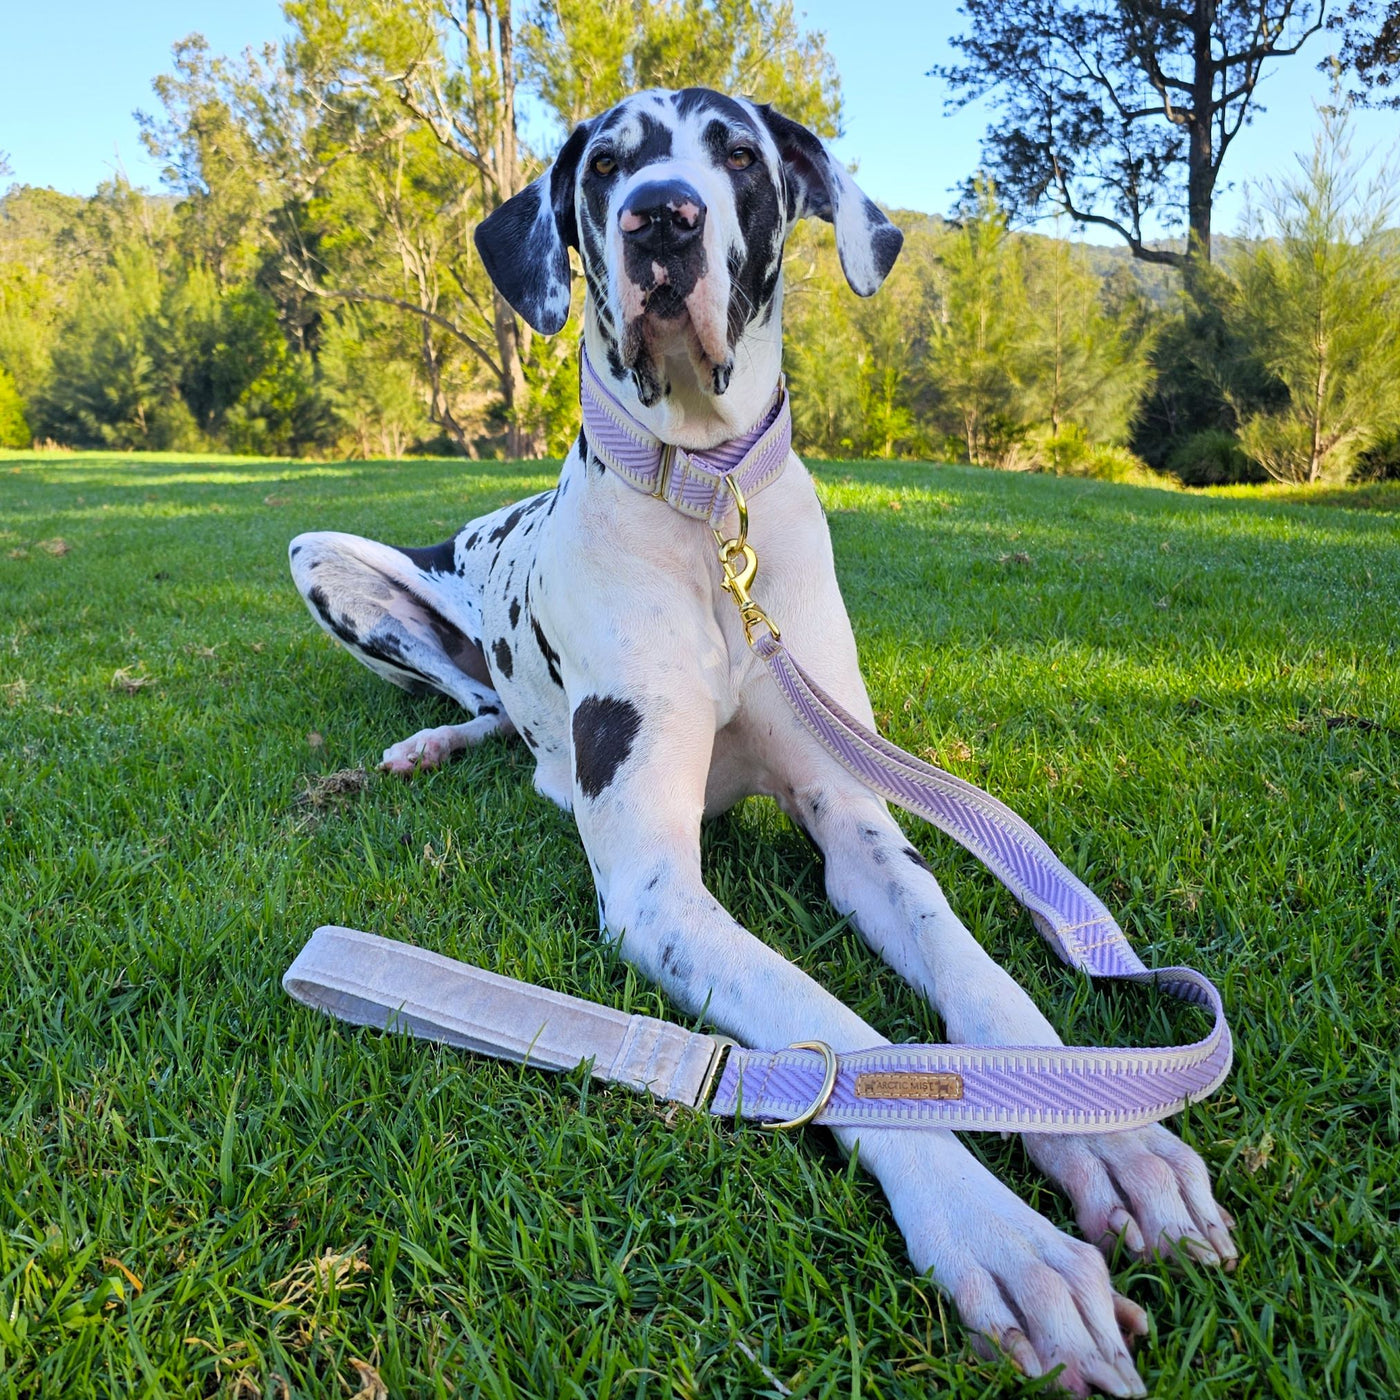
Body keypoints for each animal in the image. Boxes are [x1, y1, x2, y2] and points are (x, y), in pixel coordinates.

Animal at [289, 90, 1232, 1400]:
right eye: (606, 166)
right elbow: (832, 1032)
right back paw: (437, 744)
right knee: (476, 690)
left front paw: (1116, 1136)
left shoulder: (860, 832)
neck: (706, 511)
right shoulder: (657, 889)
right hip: (326, 558)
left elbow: (982, 982)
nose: (661, 219)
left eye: (736, 152)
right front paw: (996, 1232)